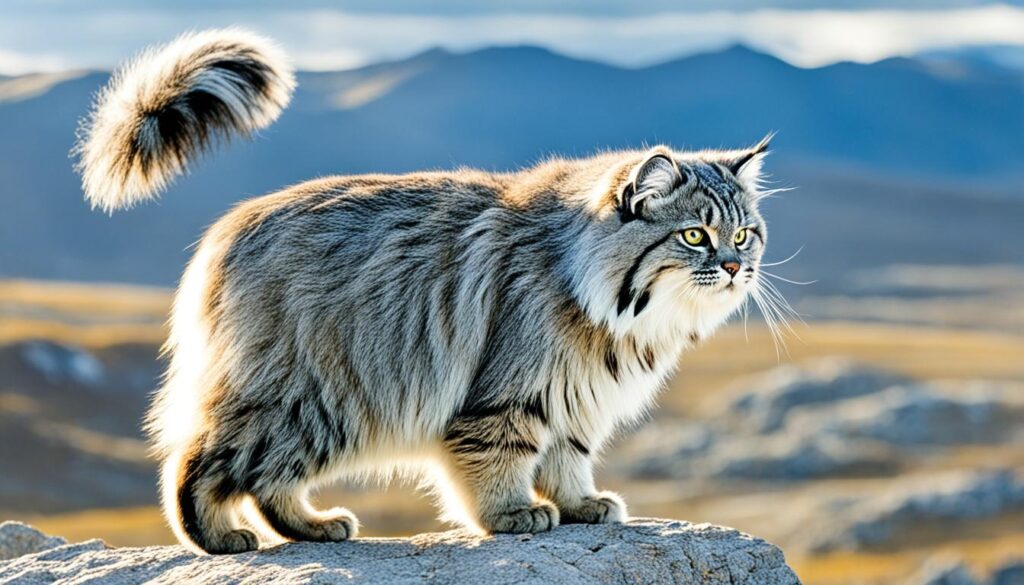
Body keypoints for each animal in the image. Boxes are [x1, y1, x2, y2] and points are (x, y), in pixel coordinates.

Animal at [74, 29, 774, 557]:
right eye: (693, 235)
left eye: (744, 234)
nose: (736, 268)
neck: (611, 302)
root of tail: (227, 226)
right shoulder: (509, 393)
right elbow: (499, 457)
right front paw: (511, 515)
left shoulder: (576, 400)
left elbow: (568, 458)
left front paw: (579, 504)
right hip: (313, 397)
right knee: (197, 459)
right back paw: (217, 537)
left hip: (316, 411)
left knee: (268, 479)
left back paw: (312, 527)